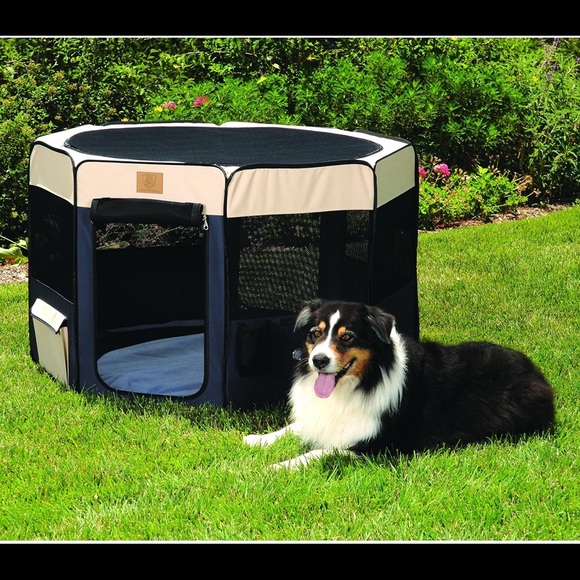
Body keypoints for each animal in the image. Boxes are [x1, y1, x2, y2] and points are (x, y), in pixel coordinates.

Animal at [244, 299, 555, 469]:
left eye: (347, 337)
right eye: (315, 334)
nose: (318, 360)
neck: (364, 380)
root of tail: (538, 376)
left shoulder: (378, 446)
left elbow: (318, 452)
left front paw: (277, 466)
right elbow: (294, 426)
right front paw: (258, 439)